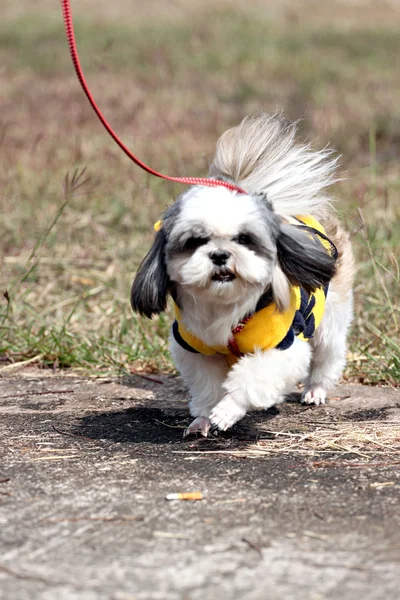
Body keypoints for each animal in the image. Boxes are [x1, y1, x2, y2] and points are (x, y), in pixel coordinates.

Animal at [130, 113, 354, 436]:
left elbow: (252, 378)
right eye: (195, 241)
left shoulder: (284, 347)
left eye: (244, 239)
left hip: (330, 320)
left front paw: (227, 411)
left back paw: (315, 390)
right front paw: (203, 418)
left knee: (327, 355)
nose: (220, 255)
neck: (226, 308)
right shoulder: (195, 348)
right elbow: (208, 386)